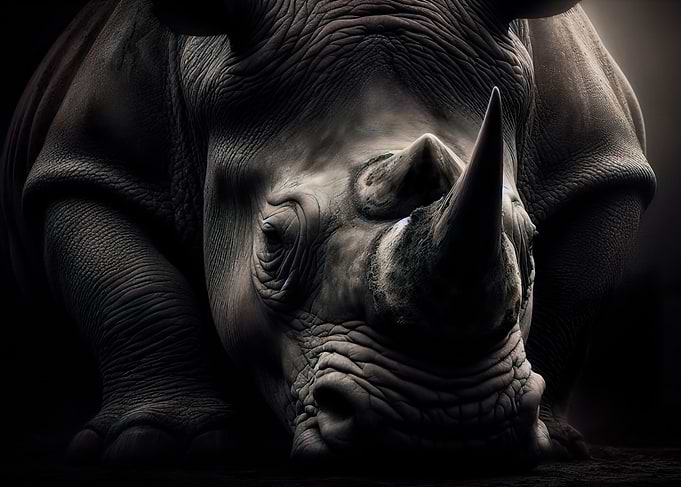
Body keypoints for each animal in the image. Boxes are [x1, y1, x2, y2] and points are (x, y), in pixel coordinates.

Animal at [1, 0, 655, 468]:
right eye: (272, 241)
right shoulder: (91, 163)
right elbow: (133, 288)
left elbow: (573, 299)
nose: (444, 422)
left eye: (528, 239)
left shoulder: (601, 162)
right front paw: (160, 447)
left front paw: (558, 443)